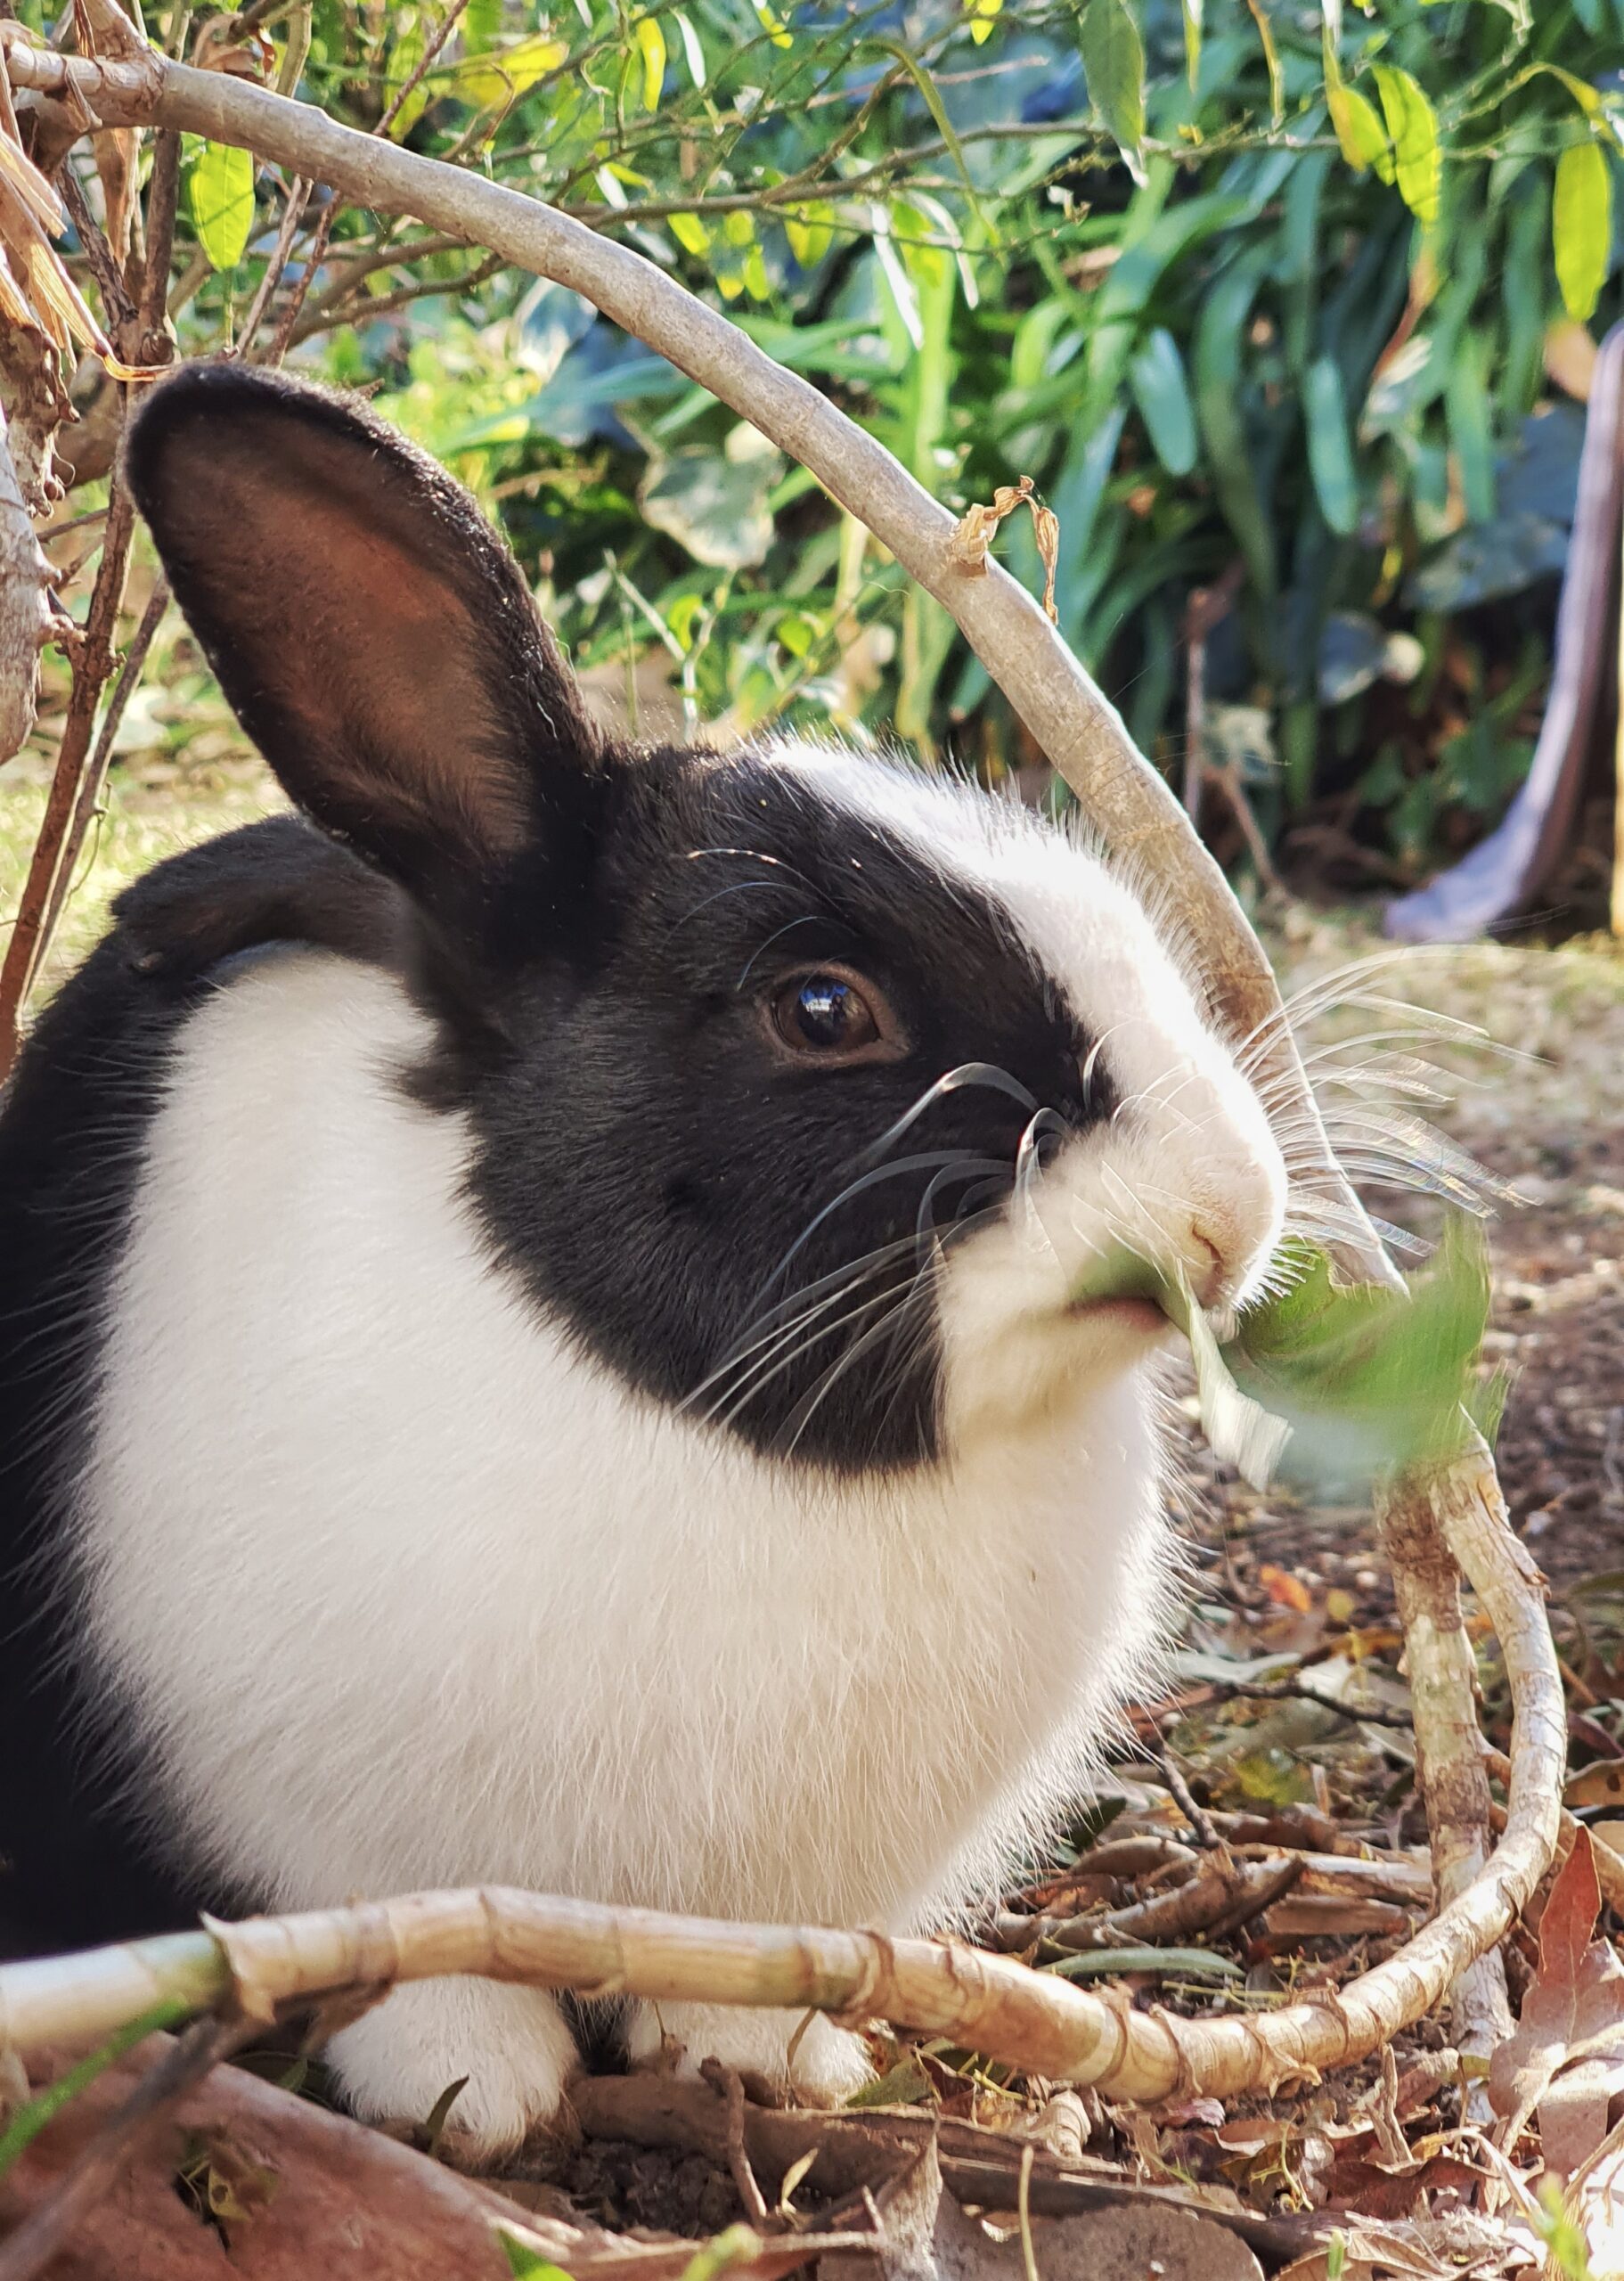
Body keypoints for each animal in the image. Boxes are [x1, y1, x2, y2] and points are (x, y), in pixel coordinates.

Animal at [0, 363, 1287, 2159]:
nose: (1223, 1212)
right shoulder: (332, 1850)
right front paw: (476, 2100)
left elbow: (732, 1988)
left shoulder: (767, 1905)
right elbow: (412, 1971)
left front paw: (768, 2069)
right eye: (818, 1008)